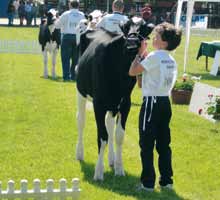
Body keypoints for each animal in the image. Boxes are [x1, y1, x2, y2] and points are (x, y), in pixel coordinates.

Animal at [75, 18, 155, 180]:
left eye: (143, 28)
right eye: (126, 27)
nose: (131, 43)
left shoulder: (125, 104)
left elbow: (118, 136)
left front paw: (119, 168)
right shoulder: (98, 104)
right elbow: (102, 136)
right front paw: (99, 171)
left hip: (112, 105)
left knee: (110, 124)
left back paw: (111, 159)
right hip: (81, 91)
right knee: (81, 120)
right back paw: (79, 153)